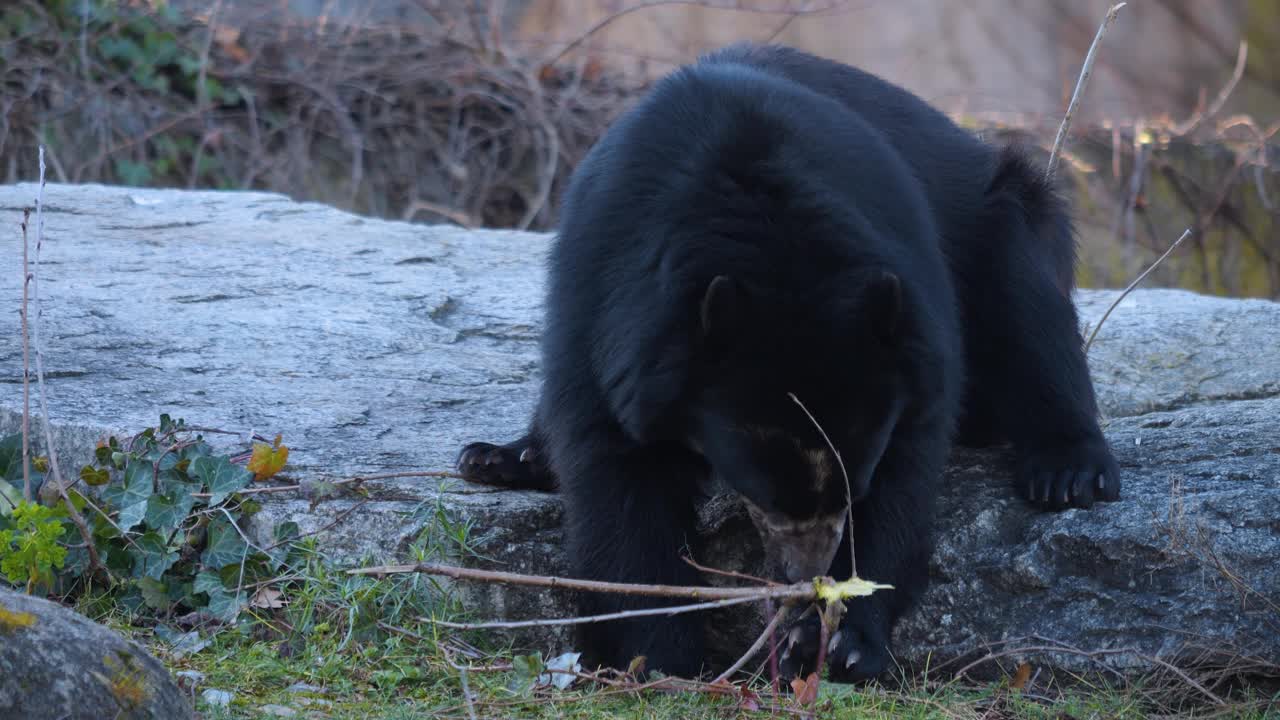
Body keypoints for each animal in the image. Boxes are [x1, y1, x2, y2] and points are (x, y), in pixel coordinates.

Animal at [458, 41, 1121, 681]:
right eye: (768, 497)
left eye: (851, 491)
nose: (806, 575)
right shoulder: (605, 296)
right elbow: (618, 476)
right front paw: (655, 656)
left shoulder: (913, 314)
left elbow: (907, 475)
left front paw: (843, 643)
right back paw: (502, 459)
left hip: (1001, 215)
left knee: (1028, 306)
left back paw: (1069, 473)